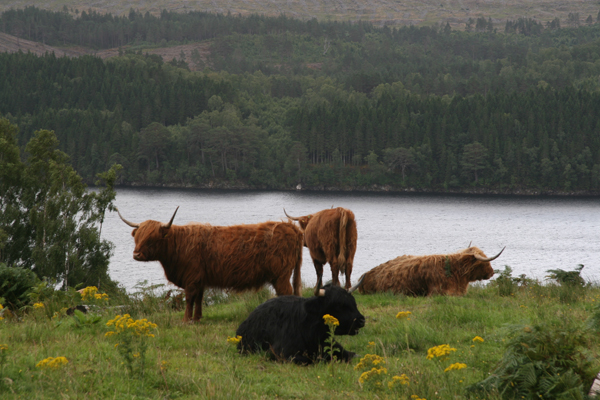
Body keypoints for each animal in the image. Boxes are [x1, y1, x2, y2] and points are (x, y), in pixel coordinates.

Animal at [118, 208, 304, 320]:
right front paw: (197, 318)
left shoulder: (191, 278)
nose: (136, 254)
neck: (179, 245)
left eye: (151, 239)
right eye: (137, 237)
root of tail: (289, 226)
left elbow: (189, 299)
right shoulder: (200, 279)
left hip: (281, 275)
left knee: (286, 292)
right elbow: (199, 299)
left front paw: (186, 320)